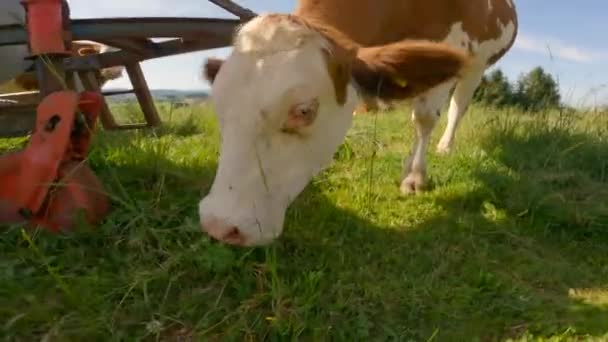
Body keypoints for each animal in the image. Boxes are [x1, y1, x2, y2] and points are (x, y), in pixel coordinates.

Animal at [197, 0, 516, 246]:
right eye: (219, 107)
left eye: (304, 111)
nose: (217, 225)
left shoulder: (454, 44)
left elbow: (426, 118)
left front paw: (415, 178)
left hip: (477, 65)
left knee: (456, 107)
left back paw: (443, 148)